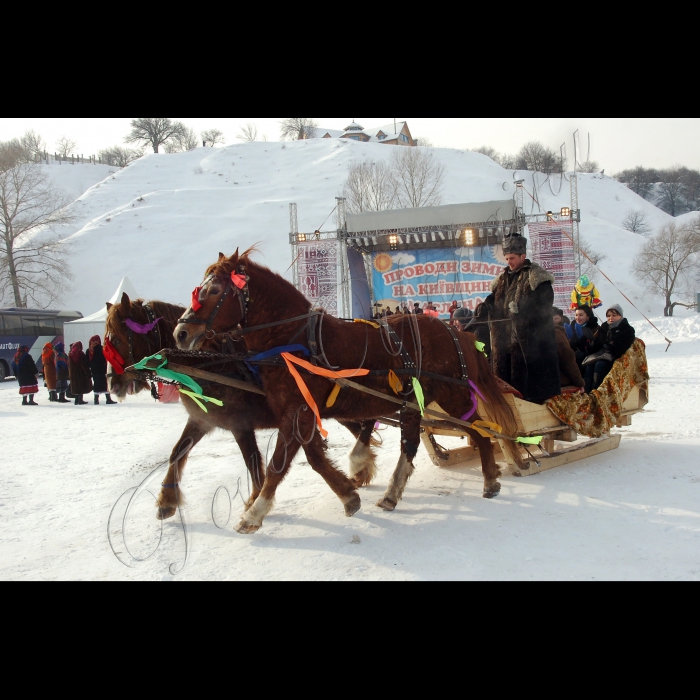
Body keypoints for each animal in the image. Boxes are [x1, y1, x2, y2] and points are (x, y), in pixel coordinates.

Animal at [105, 292, 378, 520]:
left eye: (117, 340)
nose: (112, 384)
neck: (214, 362)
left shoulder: (241, 425)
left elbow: (255, 464)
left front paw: (254, 502)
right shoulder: (201, 419)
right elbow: (177, 452)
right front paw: (167, 501)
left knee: (367, 423)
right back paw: (362, 469)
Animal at [175, 249, 524, 532]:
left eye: (215, 290)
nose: (181, 332)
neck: (292, 339)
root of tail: (454, 331)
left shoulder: (298, 412)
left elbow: (278, 464)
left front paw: (254, 513)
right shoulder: (299, 413)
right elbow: (314, 458)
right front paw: (349, 493)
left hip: (452, 396)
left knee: (480, 430)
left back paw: (490, 478)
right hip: (413, 401)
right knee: (414, 444)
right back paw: (393, 494)